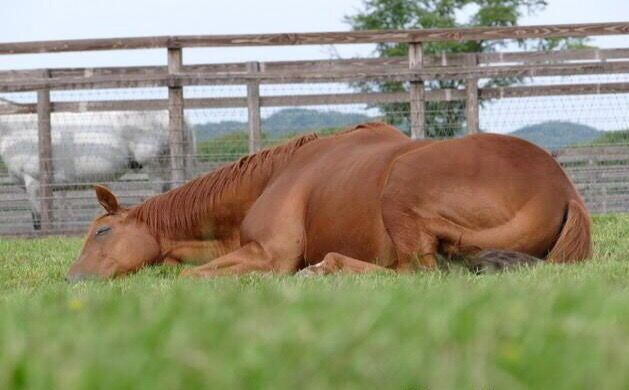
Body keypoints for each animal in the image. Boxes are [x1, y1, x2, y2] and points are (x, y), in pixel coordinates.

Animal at [66, 122, 592, 280]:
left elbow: (192, 277)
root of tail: (561, 188)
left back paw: (325, 268)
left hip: (401, 190)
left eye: (102, 231)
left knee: (415, 274)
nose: (71, 280)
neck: (275, 177)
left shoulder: (270, 255)